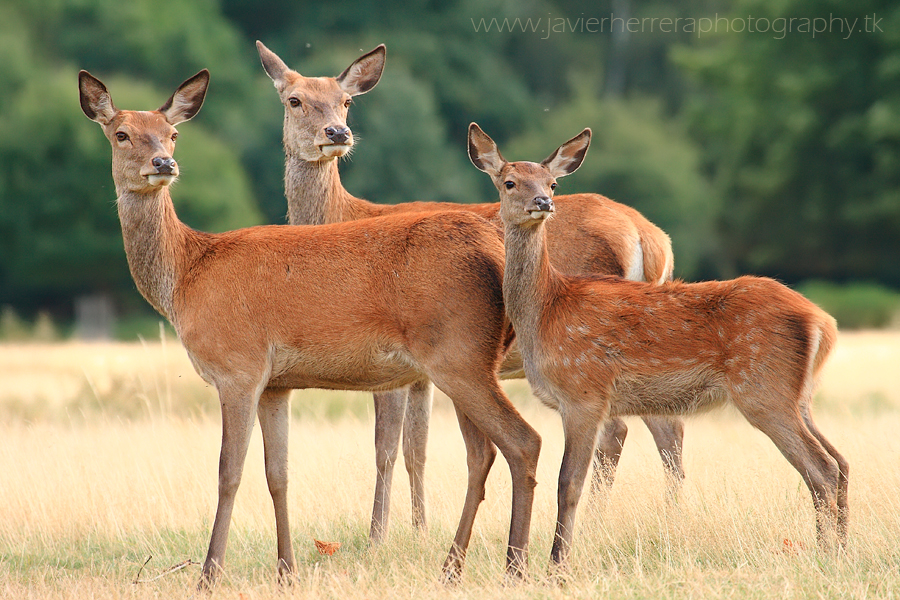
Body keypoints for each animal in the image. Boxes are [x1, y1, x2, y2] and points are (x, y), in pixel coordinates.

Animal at [79, 69, 540, 584]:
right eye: (122, 134)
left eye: (172, 133)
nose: (163, 162)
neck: (186, 279)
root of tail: (495, 248)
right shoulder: (276, 384)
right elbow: (278, 474)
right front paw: (287, 569)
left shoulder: (238, 367)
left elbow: (228, 472)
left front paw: (210, 573)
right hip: (466, 360)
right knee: (483, 453)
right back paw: (456, 567)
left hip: (459, 354)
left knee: (523, 441)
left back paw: (514, 566)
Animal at [256, 41, 684, 540]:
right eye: (295, 100)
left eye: (346, 101)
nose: (337, 133)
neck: (343, 216)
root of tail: (650, 239)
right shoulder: (419, 369)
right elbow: (416, 448)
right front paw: (419, 528)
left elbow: (385, 446)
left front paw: (378, 535)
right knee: (668, 429)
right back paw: (670, 516)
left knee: (619, 431)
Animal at [468, 122, 848, 572]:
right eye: (510, 182)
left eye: (553, 183)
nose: (543, 202)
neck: (547, 309)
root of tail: (824, 322)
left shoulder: (584, 392)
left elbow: (568, 483)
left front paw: (557, 565)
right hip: (799, 394)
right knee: (839, 462)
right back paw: (842, 550)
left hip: (763, 388)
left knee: (821, 468)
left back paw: (828, 555)